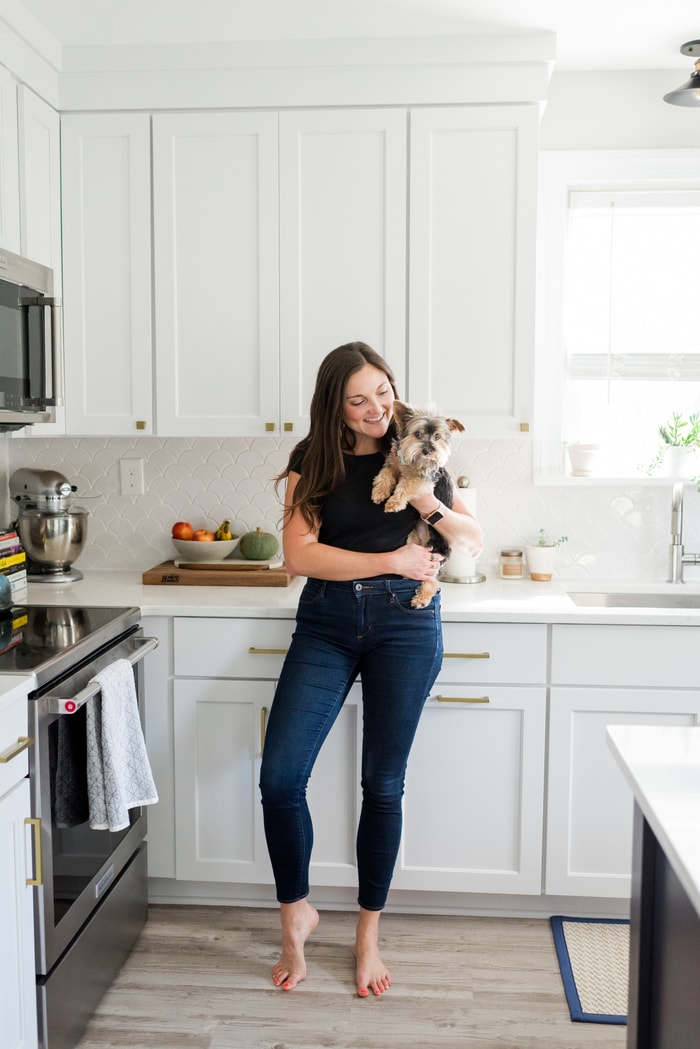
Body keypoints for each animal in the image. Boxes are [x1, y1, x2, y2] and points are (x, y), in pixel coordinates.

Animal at [371, 398, 465, 608]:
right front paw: (379, 493)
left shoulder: (423, 481)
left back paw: (421, 599)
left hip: (434, 553)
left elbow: (406, 485)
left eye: (437, 437)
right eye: (418, 434)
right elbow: (385, 475)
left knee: (431, 581)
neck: (415, 462)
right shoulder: (393, 464)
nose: (428, 450)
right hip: (414, 541)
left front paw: (393, 503)